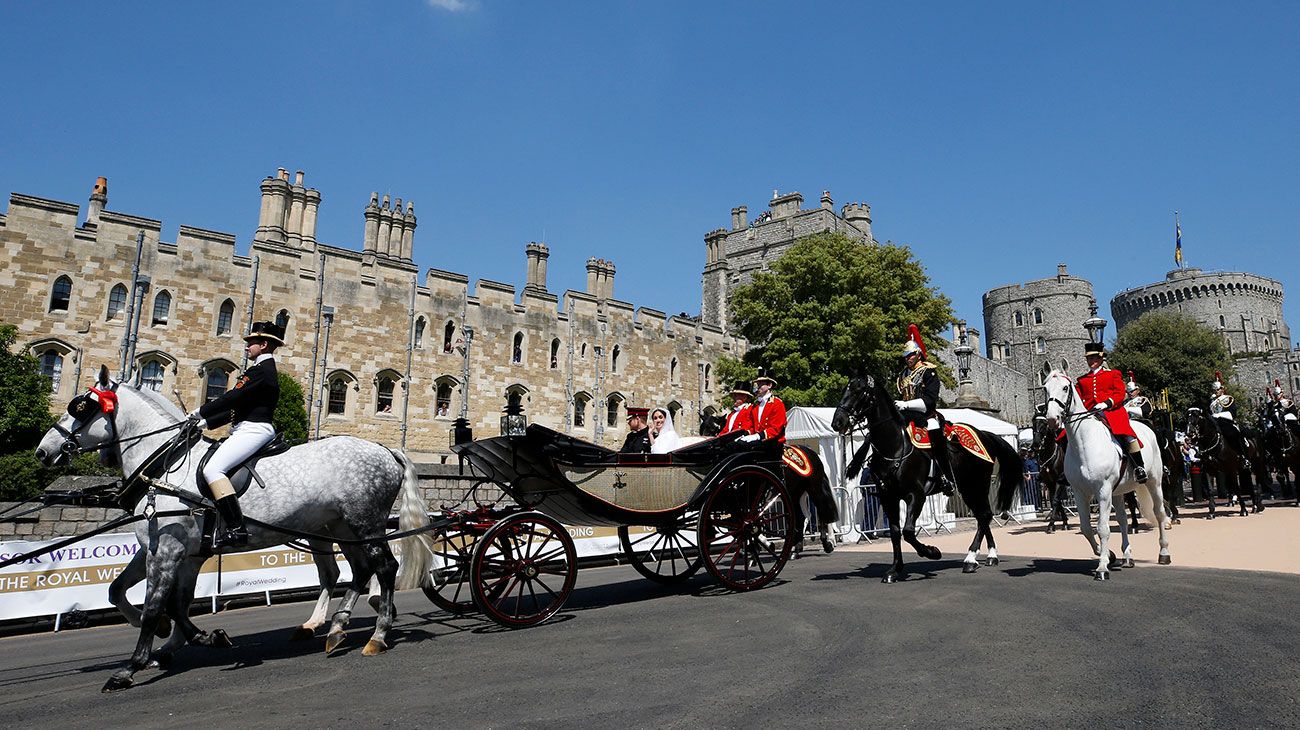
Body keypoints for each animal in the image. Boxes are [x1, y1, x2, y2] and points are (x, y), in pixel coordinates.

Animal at [34, 366, 431, 691]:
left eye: (80, 407)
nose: (42, 451)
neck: (167, 465)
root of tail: (385, 449)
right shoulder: (173, 551)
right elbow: (137, 594)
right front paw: (188, 639)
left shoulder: (168, 551)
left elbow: (154, 605)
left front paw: (130, 668)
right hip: (341, 528)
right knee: (358, 570)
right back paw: (335, 628)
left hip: (366, 524)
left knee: (384, 567)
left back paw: (377, 634)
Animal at [696, 410, 837, 550]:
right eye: (701, 429)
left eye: (712, 429)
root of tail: (815, 454)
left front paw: (763, 542)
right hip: (797, 493)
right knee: (804, 516)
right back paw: (797, 545)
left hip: (815, 488)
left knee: (823, 513)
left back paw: (828, 541)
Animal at [832, 368, 1024, 579]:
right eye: (845, 389)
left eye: (859, 390)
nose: (837, 422)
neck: (894, 446)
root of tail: (984, 434)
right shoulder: (888, 497)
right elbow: (895, 532)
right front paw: (895, 569)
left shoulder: (916, 495)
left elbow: (908, 531)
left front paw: (932, 552)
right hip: (967, 489)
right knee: (983, 515)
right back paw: (990, 555)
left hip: (976, 485)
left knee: (984, 515)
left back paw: (971, 559)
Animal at [1040, 368, 1175, 579]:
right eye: (1045, 388)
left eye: (1065, 388)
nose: (1053, 418)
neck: (1084, 442)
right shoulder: (1080, 493)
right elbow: (1086, 528)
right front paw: (1108, 555)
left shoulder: (1102, 491)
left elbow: (1102, 528)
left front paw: (1102, 566)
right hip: (1118, 491)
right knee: (1122, 520)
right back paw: (1127, 556)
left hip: (1154, 482)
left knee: (1159, 513)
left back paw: (1164, 552)